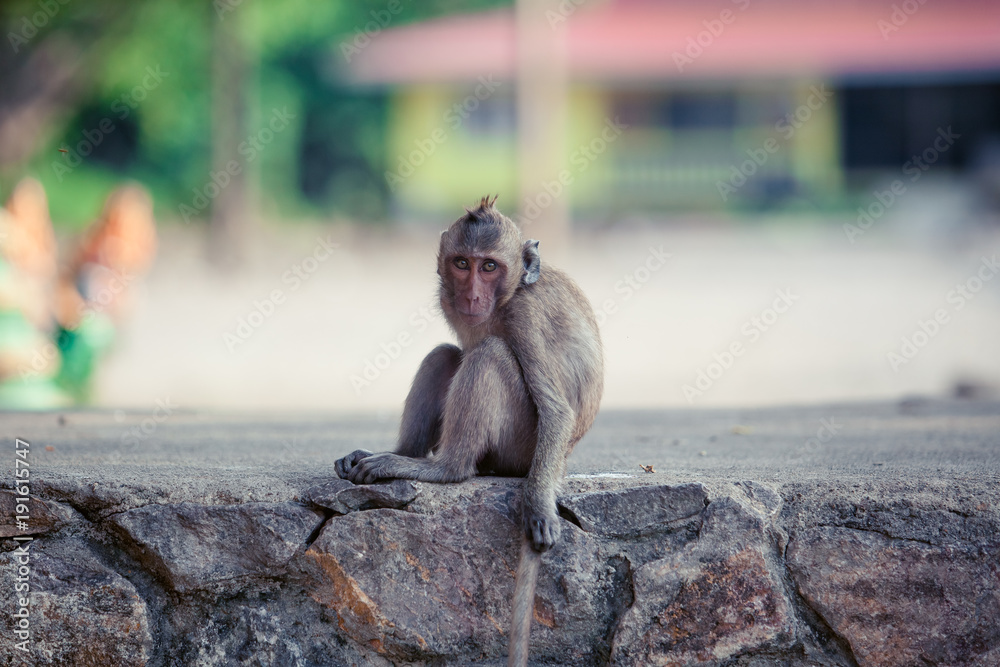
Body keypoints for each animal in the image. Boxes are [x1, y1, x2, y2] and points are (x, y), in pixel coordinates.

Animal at [335, 195, 603, 666]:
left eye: (490, 266)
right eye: (462, 263)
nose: (473, 294)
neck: (513, 292)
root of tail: (563, 461)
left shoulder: (525, 316)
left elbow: (555, 409)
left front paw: (539, 509)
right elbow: (453, 353)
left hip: (520, 449)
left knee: (490, 355)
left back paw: (445, 468)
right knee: (447, 354)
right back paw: (402, 453)